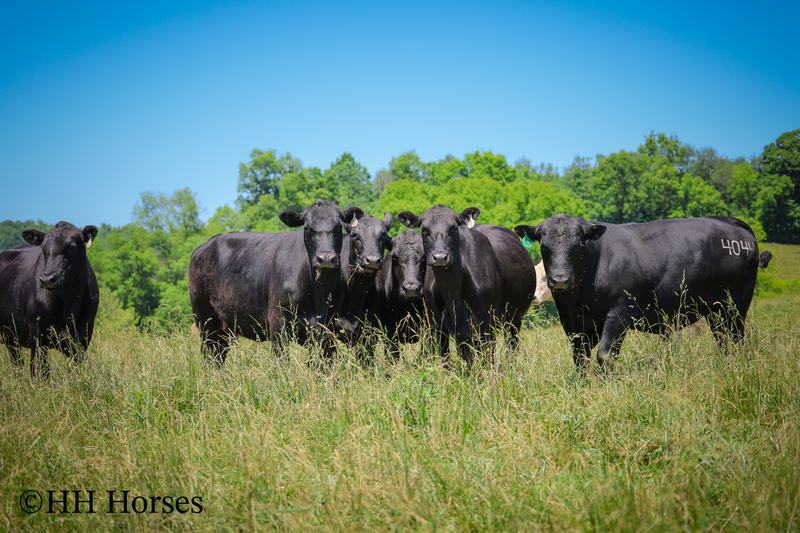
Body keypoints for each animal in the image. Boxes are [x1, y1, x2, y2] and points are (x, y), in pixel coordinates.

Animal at [0, 221, 99, 377]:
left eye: (72, 246)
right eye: (43, 248)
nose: (47, 279)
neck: (69, 302)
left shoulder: (84, 334)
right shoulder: (37, 333)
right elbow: (38, 370)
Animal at [188, 201, 363, 366]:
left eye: (338, 227)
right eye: (307, 228)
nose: (325, 258)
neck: (318, 293)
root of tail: (204, 246)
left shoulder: (327, 329)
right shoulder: (277, 322)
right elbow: (283, 363)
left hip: (225, 328)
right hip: (205, 320)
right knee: (210, 357)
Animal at [397, 205, 536, 365]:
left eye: (453, 227)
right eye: (424, 230)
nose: (440, 257)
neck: (452, 293)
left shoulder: (487, 322)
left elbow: (487, 359)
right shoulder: (438, 325)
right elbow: (448, 361)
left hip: (515, 319)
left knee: (511, 347)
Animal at [514, 214, 773, 373]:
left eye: (578, 244)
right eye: (544, 246)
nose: (559, 280)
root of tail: (731, 222)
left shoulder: (619, 313)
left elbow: (605, 355)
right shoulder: (573, 322)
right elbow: (580, 359)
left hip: (735, 306)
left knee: (736, 341)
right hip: (715, 310)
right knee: (724, 342)